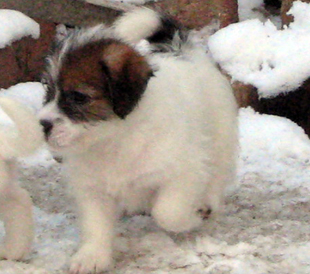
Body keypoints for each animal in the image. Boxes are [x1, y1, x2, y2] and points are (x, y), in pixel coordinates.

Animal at [38, 8, 237, 274]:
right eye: (48, 91)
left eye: (79, 97)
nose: (43, 125)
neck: (115, 139)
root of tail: (182, 50)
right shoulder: (92, 188)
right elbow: (95, 224)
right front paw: (92, 256)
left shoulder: (185, 171)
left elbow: (168, 212)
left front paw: (191, 218)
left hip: (221, 138)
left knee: (217, 174)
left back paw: (206, 203)